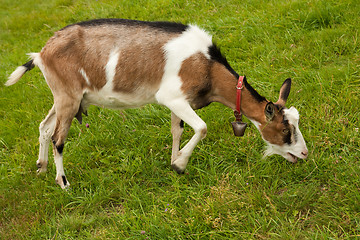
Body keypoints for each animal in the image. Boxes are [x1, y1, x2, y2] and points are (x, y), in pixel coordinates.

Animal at [5, 18, 308, 188]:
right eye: (285, 130)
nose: (304, 154)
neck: (208, 67)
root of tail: (42, 52)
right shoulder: (172, 96)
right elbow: (202, 128)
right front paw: (180, 164)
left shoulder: (179, 102)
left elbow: (178, 130)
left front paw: (175, 161)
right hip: (68, 97)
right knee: (58, 138)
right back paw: (64, 183)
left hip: (65, 96)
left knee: (44, 127)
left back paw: (41, 168)